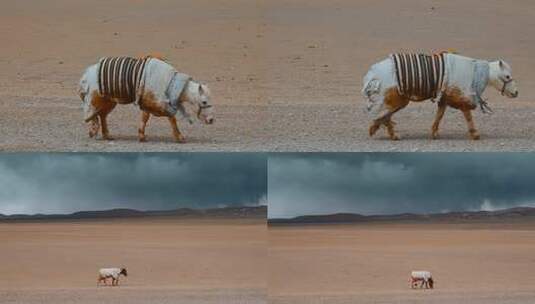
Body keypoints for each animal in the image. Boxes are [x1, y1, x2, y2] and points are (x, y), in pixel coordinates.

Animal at [364, 52, 520, 141]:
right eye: (507, 76)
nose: (516, 92)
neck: (478, 72)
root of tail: (372, 75)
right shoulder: (461, 96)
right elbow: (468, 116)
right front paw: (475, 134)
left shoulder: (445, 97)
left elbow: (439, 115)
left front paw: (434, 133)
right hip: (398, 97)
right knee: (386, 114)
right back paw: (387, 132)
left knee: (386, 114)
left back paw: (386, 132)